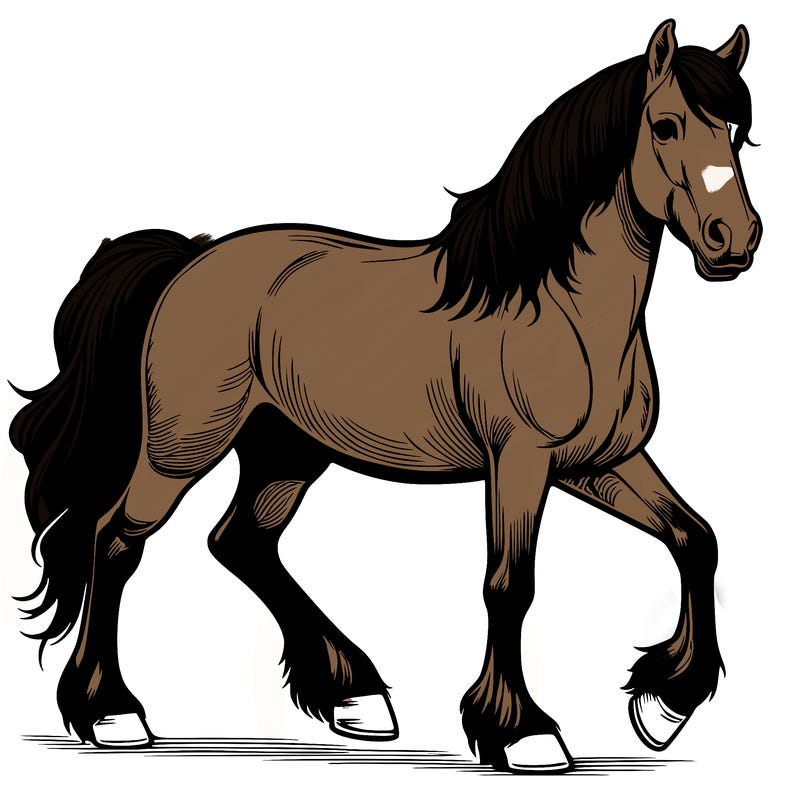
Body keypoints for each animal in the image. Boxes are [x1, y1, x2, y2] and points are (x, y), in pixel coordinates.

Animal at [9, 19, 760, 773]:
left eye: (736, 130)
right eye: (665, 125)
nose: (736, 239)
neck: (557, 306)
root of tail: (190, 260)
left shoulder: (598, 463)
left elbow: (696, 538)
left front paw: (664, 706)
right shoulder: (520, 461)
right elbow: (509, 584)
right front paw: (522, 733)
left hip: (286, 451)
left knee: (241, 541)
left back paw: (354, 696)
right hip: (182, 447)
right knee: (115, 540)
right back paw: (112, 714)